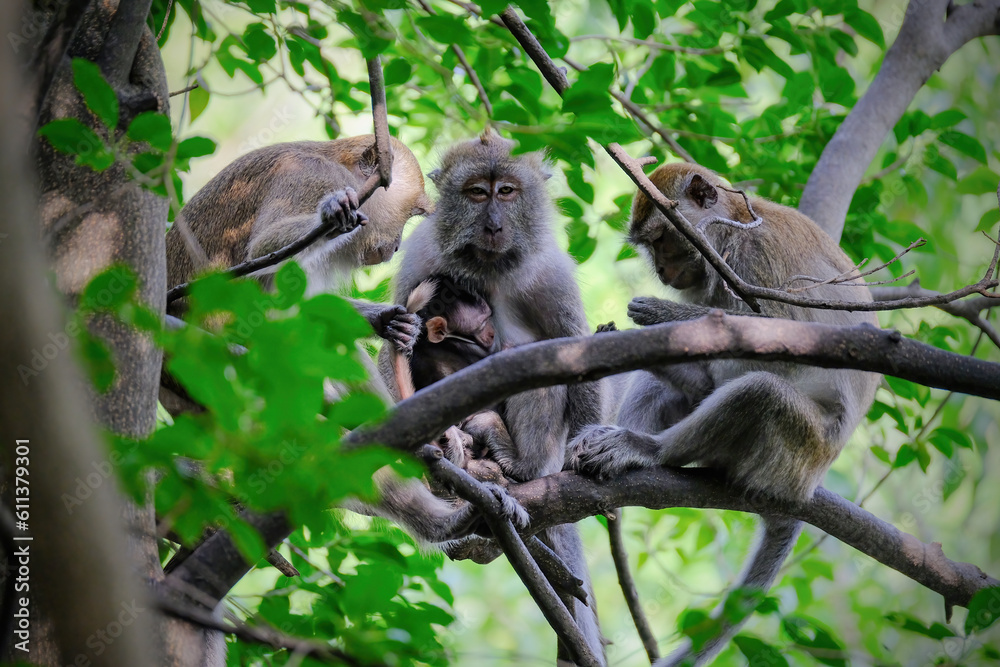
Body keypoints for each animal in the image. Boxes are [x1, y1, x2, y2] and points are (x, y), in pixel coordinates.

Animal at [388, 130, 607, 666]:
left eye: (506, 192)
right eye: (475, 193)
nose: (492, 224)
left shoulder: (553, 271)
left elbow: (573, 349)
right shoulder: (422, 256)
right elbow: (397, 346)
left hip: (544, 456)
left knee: (540, 373)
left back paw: (515, 466)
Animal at [568, 162, 881, 666]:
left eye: (662, 239)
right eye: (650, 247)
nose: (661, 271)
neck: (731, 226)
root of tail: (808, 485)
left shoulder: (751, 263)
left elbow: (780, 346)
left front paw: (664, 315)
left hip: (798, 450)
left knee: (759, 392)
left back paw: (647, 450)